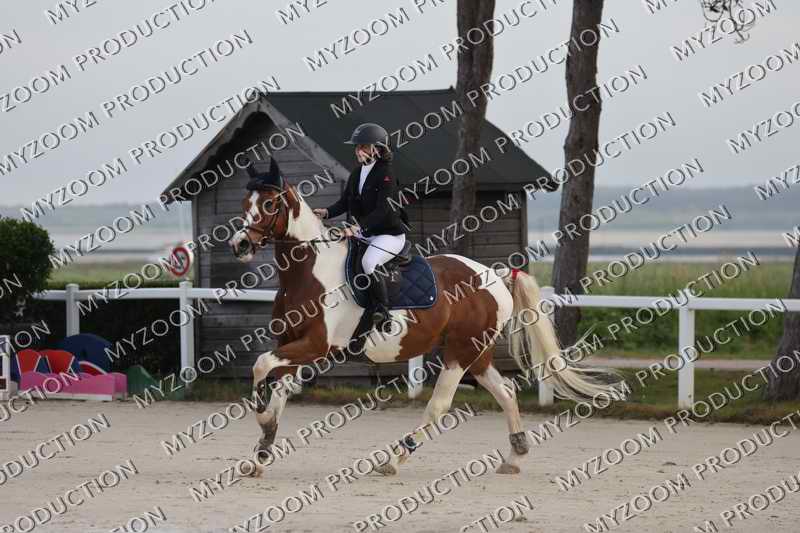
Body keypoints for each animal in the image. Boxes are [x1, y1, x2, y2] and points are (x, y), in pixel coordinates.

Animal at [228, 173, 624, 477]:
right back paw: (514, 456)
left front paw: (261, 417)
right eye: (244, 203)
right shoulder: (293, 343)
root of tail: (493, 275)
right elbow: (277, 385)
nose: (240, 245)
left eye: (269, 205)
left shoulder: (316, 346)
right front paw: (262, 449)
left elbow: (262, 366)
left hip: (460, 352)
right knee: (506, 392)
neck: (307, 272)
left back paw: (395, 459)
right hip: (476, 353)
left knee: (440, 404)